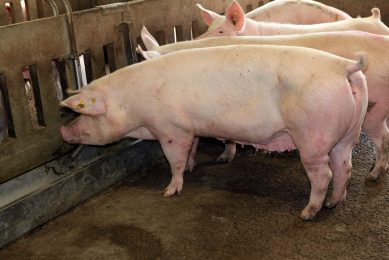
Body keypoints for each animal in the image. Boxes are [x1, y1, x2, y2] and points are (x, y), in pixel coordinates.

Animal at [59, 44, 366, 219]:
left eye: (82, 113)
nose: (63, 130)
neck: (133, 103)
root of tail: (345, 66)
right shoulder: (191, 128)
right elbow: (193, 148)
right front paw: (193, 166)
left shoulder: (171, 128)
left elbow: (175, 159)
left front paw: (169, 192)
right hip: (347, 135)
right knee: (345, 167)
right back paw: (334, 204)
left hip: (312, 135)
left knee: (324, 174)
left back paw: (308, 213)